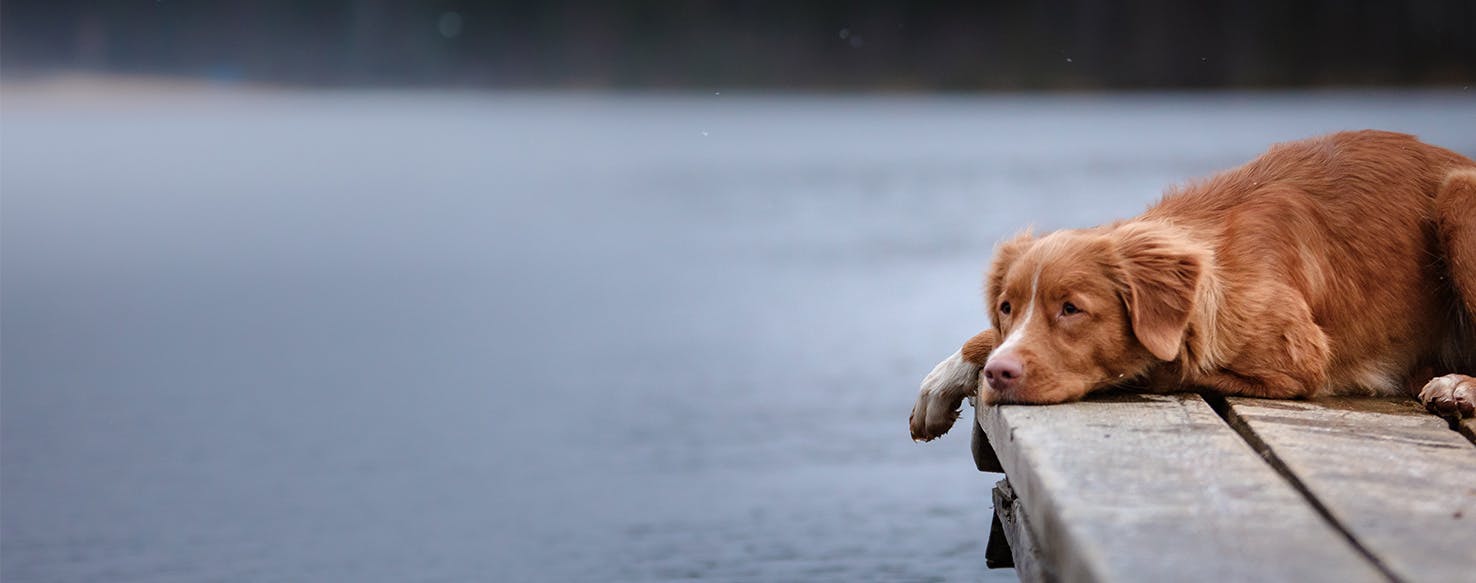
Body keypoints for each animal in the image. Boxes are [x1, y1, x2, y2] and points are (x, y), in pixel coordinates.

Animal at [909, 131, 1476, 442]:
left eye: (1071, 309)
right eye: (1006, 308)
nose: (999, 375)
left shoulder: (1299, 361)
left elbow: (1168, 370)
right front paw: (947, 377)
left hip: (1458, 196)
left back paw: (1458, 386)